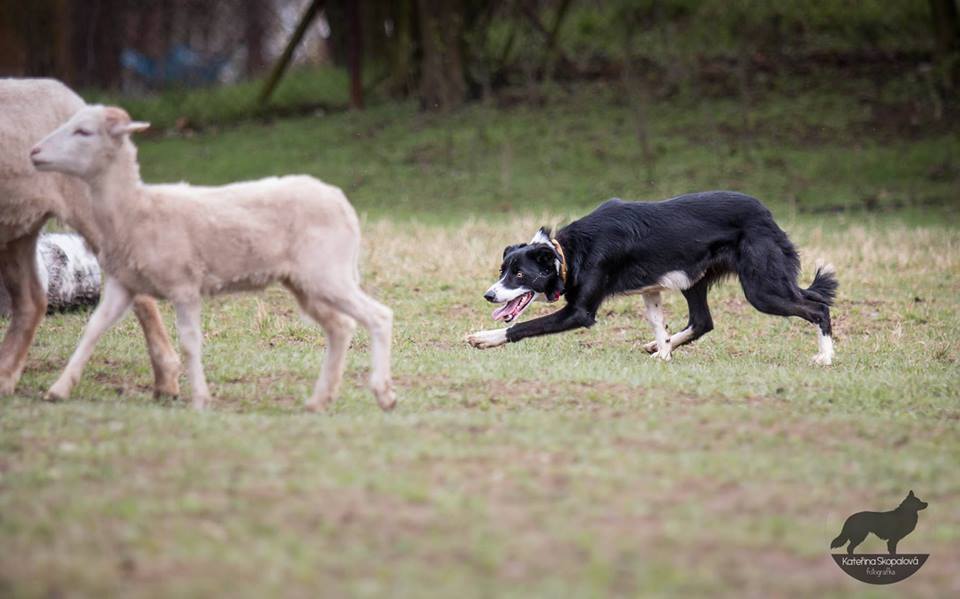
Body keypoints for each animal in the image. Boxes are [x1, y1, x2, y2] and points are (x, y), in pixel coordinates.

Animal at [0, 78, 180, 397]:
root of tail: (77, 100)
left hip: (87, 205)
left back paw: (166, 383)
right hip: (18, 223)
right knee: (31, 300)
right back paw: (4, 377)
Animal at [30, 104, 396, 411]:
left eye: (84, 132)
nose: (34, 152)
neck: (135, 208)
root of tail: (340, 200)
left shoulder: (184, 286)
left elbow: (190, 342)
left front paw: (200, 400)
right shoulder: (123, 285)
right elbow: (92, 330)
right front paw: (58, 389)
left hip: (327, 273)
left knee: (378, 316)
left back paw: (383, 393)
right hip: (306, 282)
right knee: (340, 327)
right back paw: (320, 400)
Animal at [466, 191, 838, 363]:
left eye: (518, 274)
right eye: (502, 270)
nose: (489, 295)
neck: (566, 254)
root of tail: (767, 215)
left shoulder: (579, 312)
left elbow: (522, 327)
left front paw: (484, 337)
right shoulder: (651, 290)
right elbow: (659, 324)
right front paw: (663, 352)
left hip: (762, 288)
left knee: (818, 308)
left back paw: (826, 357)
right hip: (696, 280)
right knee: (703, 321)